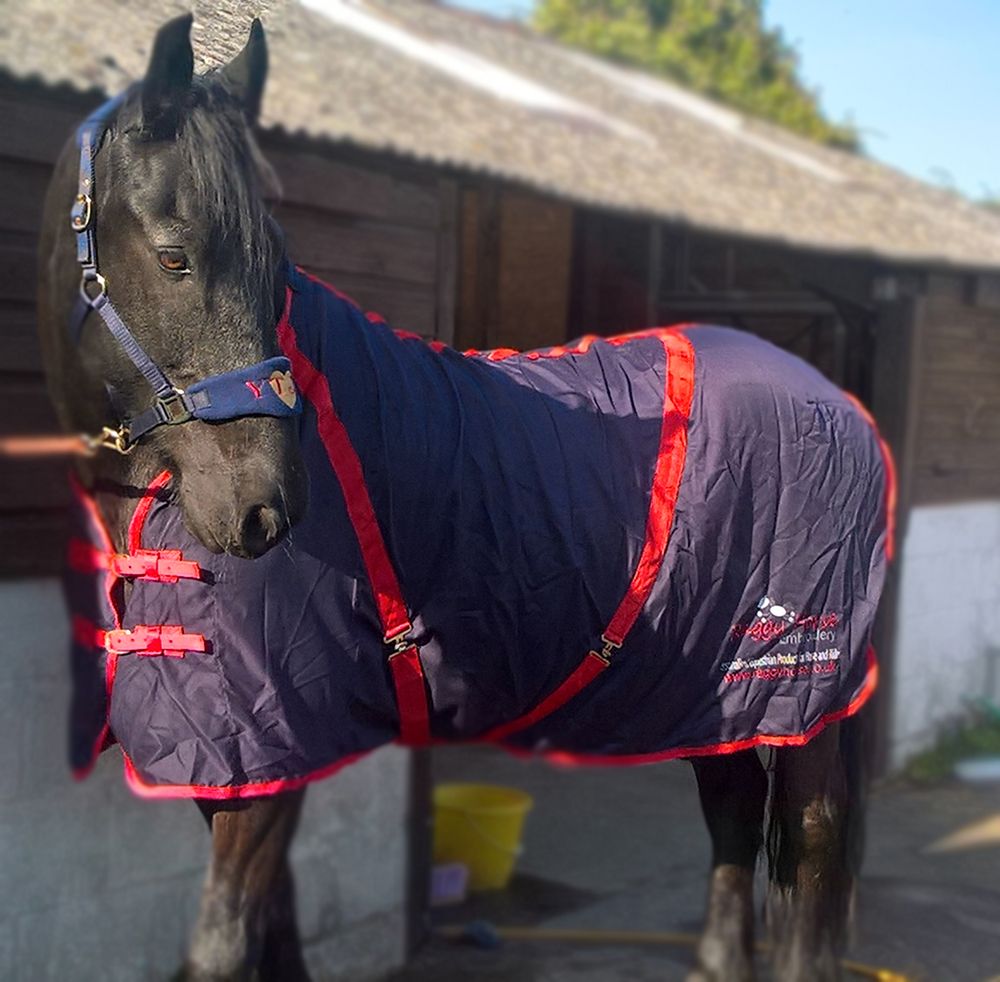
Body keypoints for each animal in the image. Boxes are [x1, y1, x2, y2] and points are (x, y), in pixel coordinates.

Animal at [35, 15, 888, 982]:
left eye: (275, 261)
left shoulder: (271, 746)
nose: (265, 509)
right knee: (734, 811)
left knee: (810, 843)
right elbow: (273, 929)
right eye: (174, 255)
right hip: (712, 689)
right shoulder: (249, 757)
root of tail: (836, 401)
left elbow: (223, 938)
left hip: (801, 698)